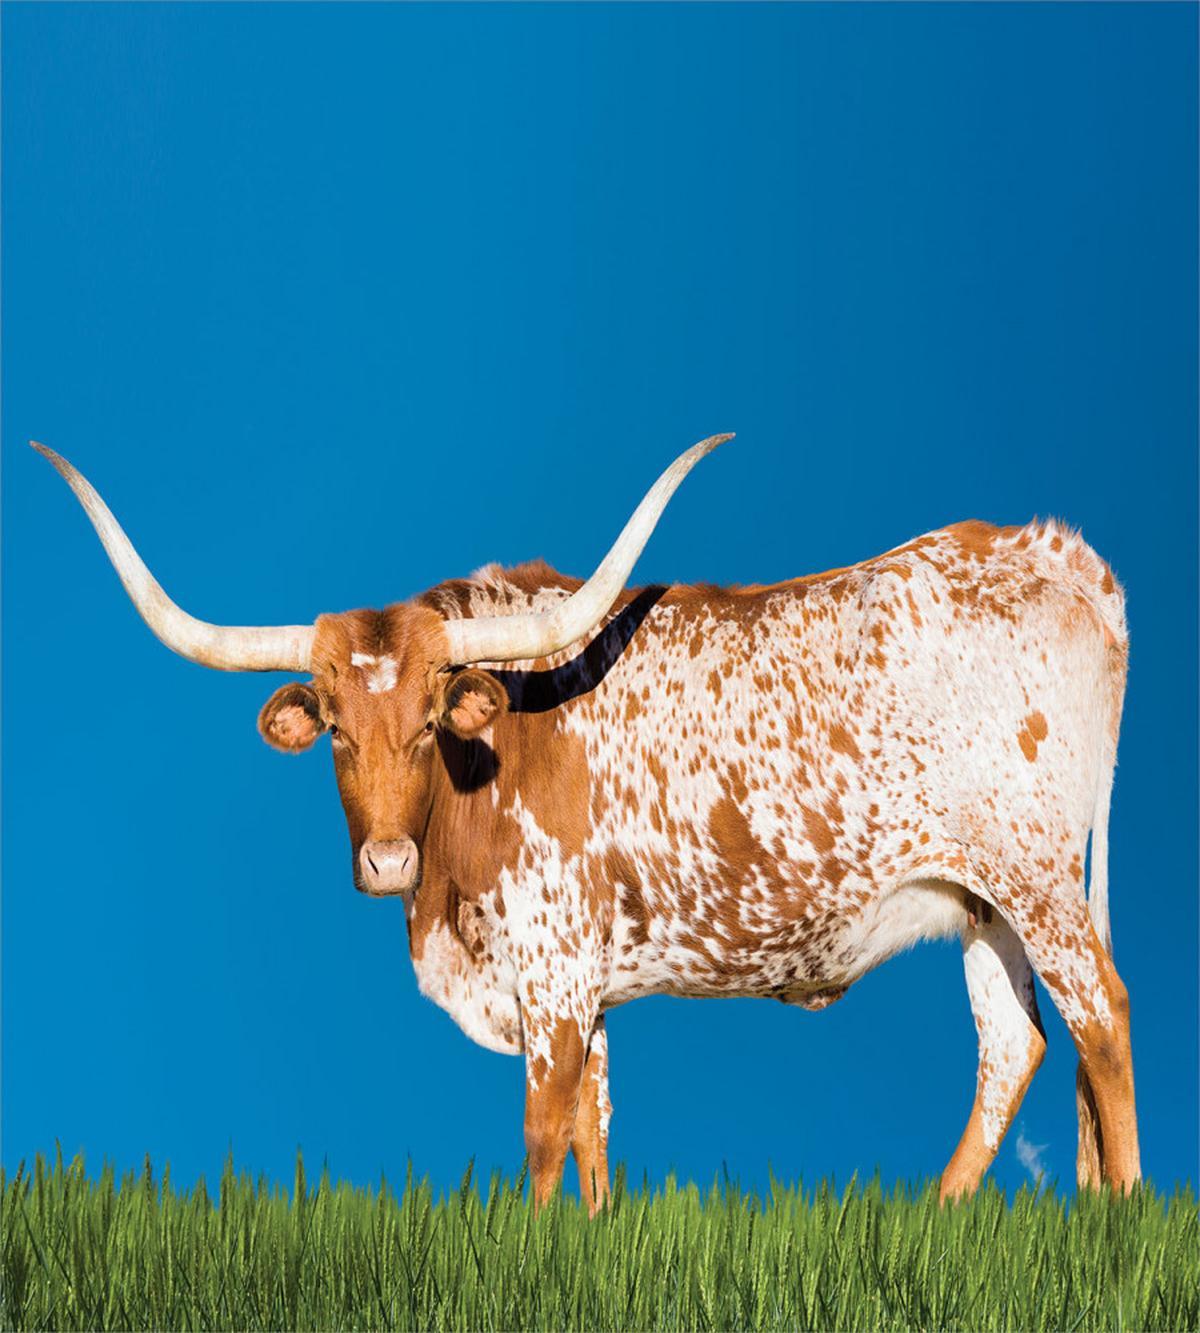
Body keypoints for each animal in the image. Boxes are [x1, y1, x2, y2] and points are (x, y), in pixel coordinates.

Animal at [33, 435, 1140, 1212]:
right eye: (336, 728)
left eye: (431, 719)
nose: (387, 860)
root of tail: (1051, 549)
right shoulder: (585, 986)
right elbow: (594, 1136)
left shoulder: (556, 966)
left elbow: (543, 1133)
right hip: (982, 899)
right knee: (1013, 1046)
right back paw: (940, 1213)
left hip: (1038, 877)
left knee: (1104, 1018)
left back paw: (1121, 1223)